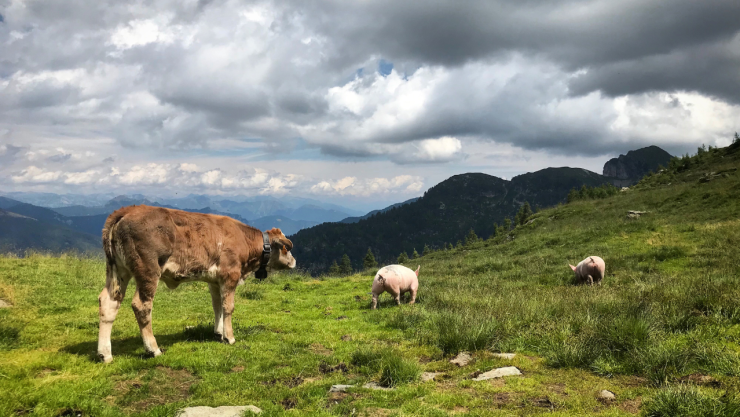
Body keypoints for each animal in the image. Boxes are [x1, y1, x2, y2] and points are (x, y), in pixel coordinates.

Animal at [97, 205, 296, 363]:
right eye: (286, 248)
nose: (294, 262)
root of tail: (128, 210)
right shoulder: (230, 275)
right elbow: (228, 307)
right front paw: (229, 337)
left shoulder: (215, 281)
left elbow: (217, 306)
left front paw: (218, 333)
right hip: (148, 270)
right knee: (141, 306)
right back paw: (153, 349)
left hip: (118, 270)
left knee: (108, 303)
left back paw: (104, 354)